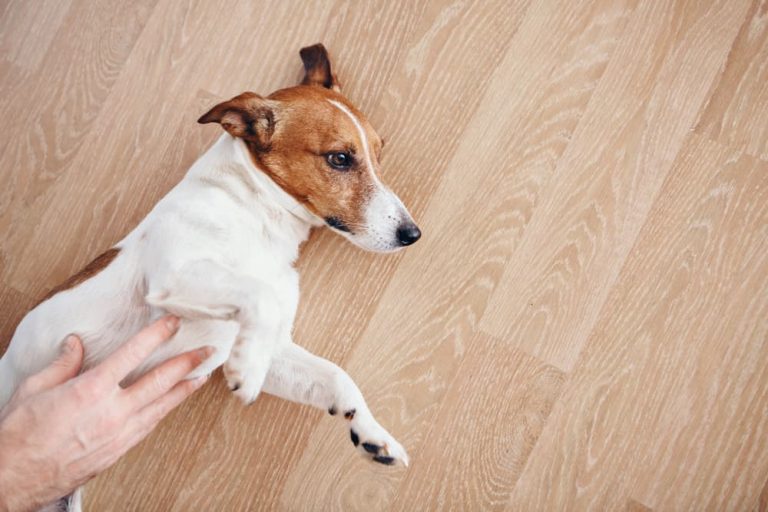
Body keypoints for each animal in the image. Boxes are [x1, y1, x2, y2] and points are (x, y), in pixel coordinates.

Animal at [0, 45, 420, 512]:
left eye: (379, 153)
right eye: (340, 158)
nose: (412, 234)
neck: (259, 217)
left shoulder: (276, 348)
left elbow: (334, 375)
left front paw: (372, 434)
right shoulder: (176, 276)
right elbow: (258, 294)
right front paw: (246, 371)